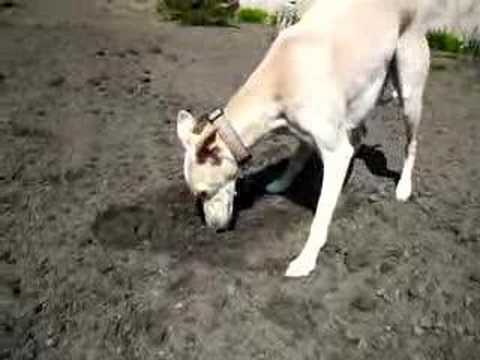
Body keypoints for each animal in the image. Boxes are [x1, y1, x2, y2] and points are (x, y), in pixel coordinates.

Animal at [176, 0, 436, 276]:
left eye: (203, 193)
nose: (214, 229)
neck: (282, 75)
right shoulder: (305, 133)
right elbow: (295, 160)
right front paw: (280, 184)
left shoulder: (334, 152)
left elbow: (321, 216)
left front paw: (306, 259)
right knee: (359, 133)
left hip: (408, 95)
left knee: (411, 144)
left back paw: (404, 187)